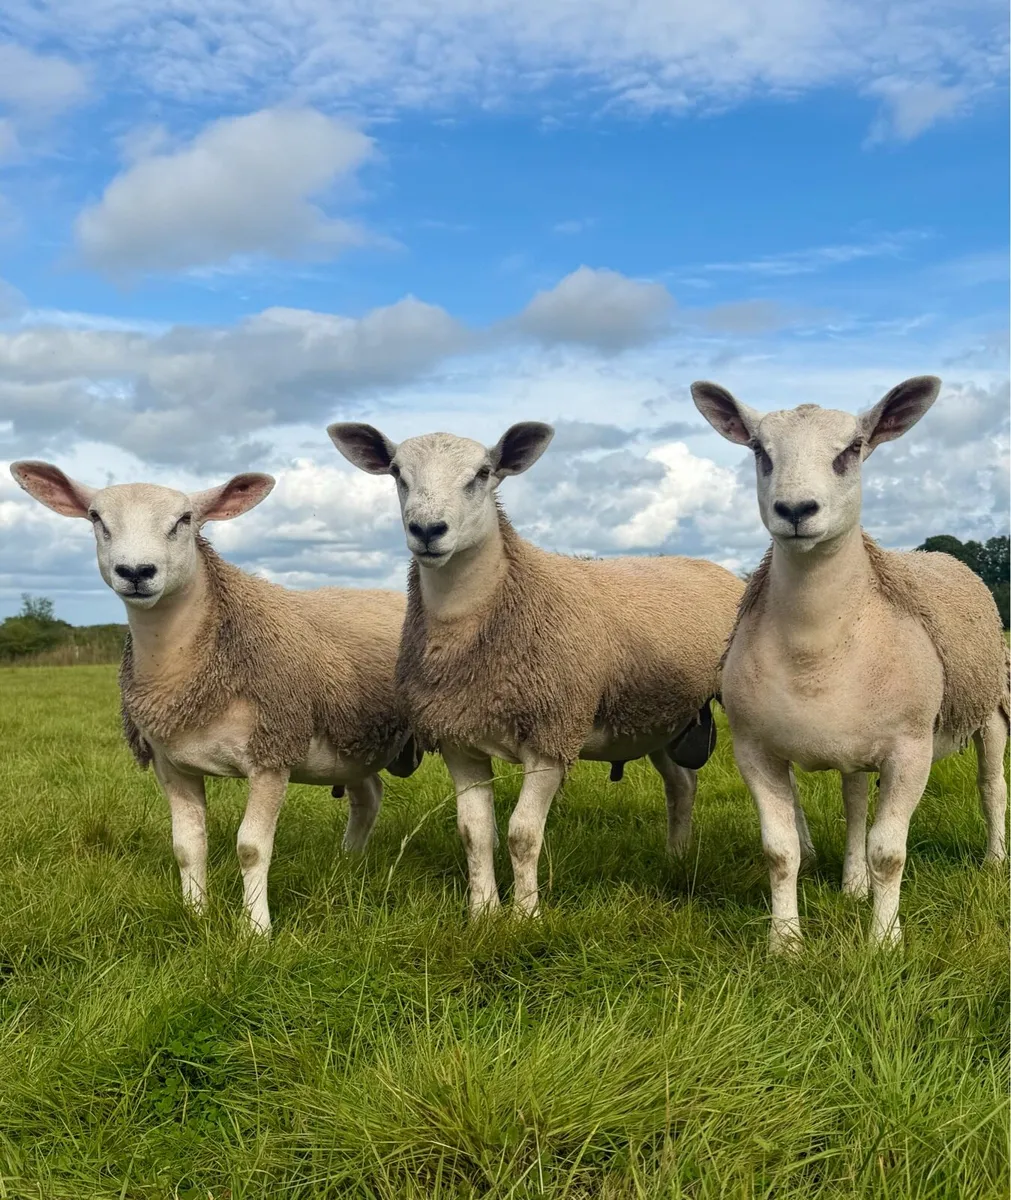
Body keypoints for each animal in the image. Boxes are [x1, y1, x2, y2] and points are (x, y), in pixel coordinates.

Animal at [10, 461, 418, 934]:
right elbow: (187, 845)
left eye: (184, 519)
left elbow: (251, 848)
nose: (136, 571)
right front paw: (195, 914)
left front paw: (256, 930)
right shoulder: (171, 764)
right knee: (368, 794)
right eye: (96, 518)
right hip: (351, 745)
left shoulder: (272, 753)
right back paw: (348, 862)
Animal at [328, 420, 748, 918]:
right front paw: (483, 913)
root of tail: (707, 565)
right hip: (660, 715)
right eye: (396, 472)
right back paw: (677, 856)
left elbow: (522, 833)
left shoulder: (552, 733)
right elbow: (474, 833)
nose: (427, 530)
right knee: (682, 784)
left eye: (483, 473)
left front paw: (526, 915)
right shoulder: (457, 739)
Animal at [692, 376, 1009, 951]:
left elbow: (890, 853)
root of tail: (938, 556)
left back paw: (995, 859)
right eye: (759, 451)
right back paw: (853, 884)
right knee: (856, 801)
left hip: (990, 706)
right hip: (855, 742)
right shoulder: (753, 750)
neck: (816, 649)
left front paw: (884, 942)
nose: (796, 510)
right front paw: (785, 945)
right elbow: (781, 853)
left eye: (852, 449)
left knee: (991, 786)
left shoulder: (911, 749)